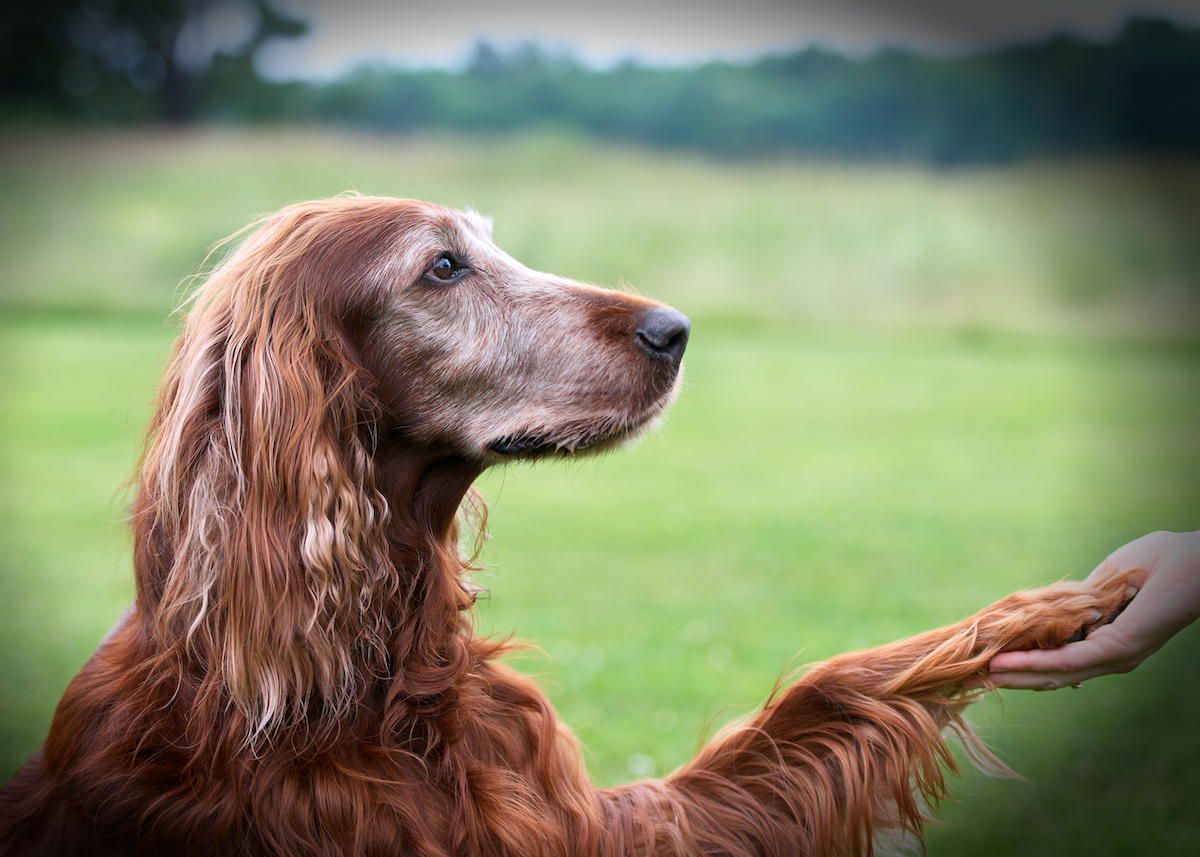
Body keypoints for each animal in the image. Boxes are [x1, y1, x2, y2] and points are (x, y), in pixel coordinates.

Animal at [0, 196, 1128, 849]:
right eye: (441, 267)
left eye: (491, 246)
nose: (675, 328)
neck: (367, 684)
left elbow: (831, 688)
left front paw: (1061, 603)